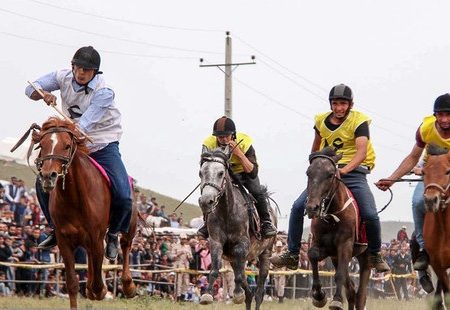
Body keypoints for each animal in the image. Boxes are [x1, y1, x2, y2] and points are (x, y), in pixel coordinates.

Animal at [31, 118, 137, 308]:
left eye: (67, 146)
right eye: (42, 145)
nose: (48, 176)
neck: (75, 198)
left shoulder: (96, 239)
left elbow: (98, 283)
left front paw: (100, 291)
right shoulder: (65, 242)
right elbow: (72, 283)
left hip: (129, 225)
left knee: (125, 245)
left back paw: (128, 285)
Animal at [199, 146, 276, 310]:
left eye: (221, 173)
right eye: (201, 173)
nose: (206, 201)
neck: (227, 211)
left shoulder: (242, 244)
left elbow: (240, 276)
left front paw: (237, 294)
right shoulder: (216, 242)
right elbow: (215, 268)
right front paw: (207, 295)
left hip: (266, 253)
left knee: (259, 292)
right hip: (234, 259)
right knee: (249, 292)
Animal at [304, 148, 370, 310]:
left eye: (330, 174)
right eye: (308, 173)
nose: (312, 208)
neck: (332, 217)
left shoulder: (345, 245)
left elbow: (339, 275)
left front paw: (336, 300)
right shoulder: (322, 246)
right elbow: (313, 255)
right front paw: (319, 296)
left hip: (365, 258)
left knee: (360, 295)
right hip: (336, 258)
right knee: (351, 290)